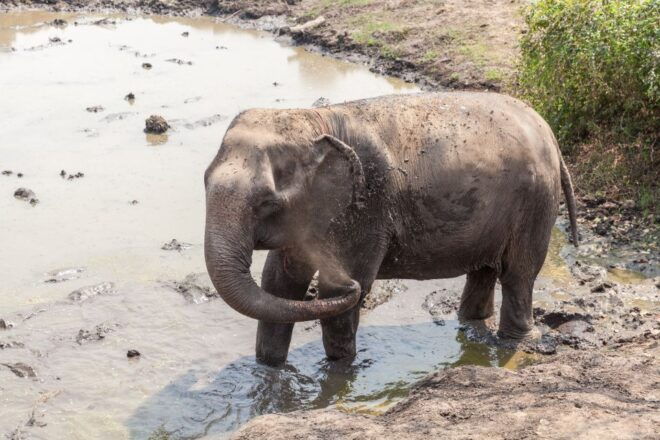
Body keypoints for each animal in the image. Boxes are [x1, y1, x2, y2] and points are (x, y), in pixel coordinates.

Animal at [204, 92, 578, 367]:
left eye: (266, 202)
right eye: (204, 182)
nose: (350, 283)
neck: (313, 118)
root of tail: (547, 130)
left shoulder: (367, 204)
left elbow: (329, 293)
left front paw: (340, 373)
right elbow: (279, 284)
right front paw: (268, 370)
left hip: (535, 201)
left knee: (518, 273)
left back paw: (517, 342)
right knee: (485, 269)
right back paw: (472, 323)